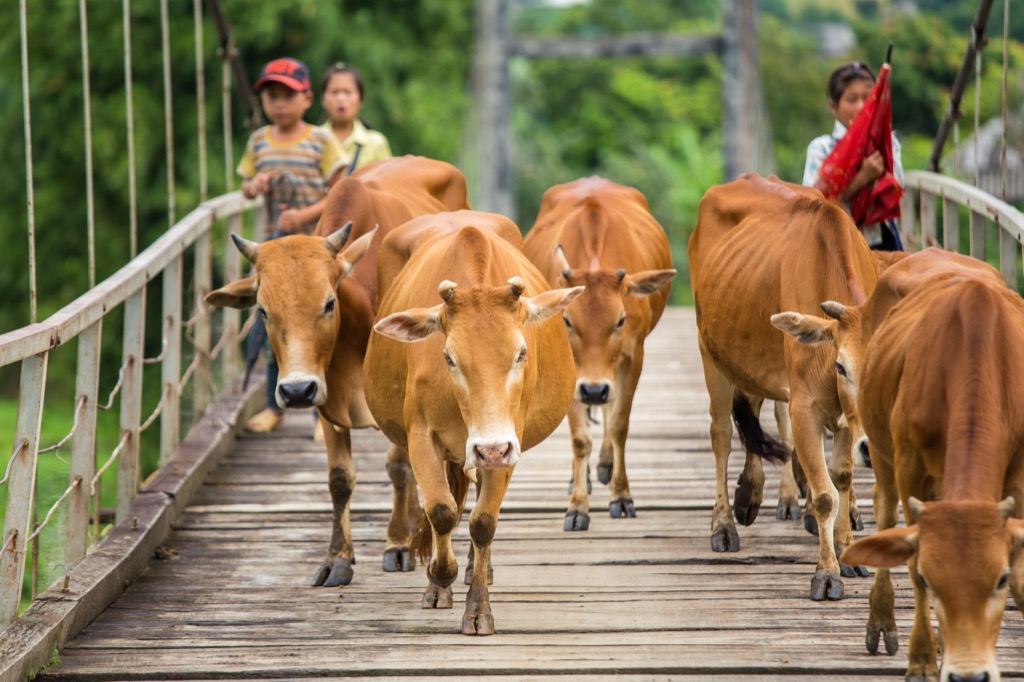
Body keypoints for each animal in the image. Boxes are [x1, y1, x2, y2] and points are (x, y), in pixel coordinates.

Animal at [206, 153, 468, 585]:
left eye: (329, 303)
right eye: (263, 311)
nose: (295, 391)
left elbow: (398, 467)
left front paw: (397, 543)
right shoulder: (325, 399)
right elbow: (339, 480)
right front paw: (337, 558)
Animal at [364, 210, 581, 630]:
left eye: (521, 353)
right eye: (449, 357)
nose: (490, 448)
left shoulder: (508, 444)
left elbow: (483, 522)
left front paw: (478, 608)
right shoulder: (421, 437)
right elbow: (441, 510)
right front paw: (438, 578)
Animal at [524, 175, 675, 524]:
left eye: (620, 320)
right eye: (566, 319)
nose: (593, 390)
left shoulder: (632, 356)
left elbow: (619, 424)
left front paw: (622, 496)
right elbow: (579, 438)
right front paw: (577, 505)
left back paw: (606, 465)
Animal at [684, 171, 876, 602]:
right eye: (841, 367)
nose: (872, 448)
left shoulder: (844, 418)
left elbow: (841, 478)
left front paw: (847, 551)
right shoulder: (805, 406)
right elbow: (824, 494)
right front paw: (826, 573)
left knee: (753, 412)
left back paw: (750, 493)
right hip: (711, 352)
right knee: (722, 434)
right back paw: (724, 524)